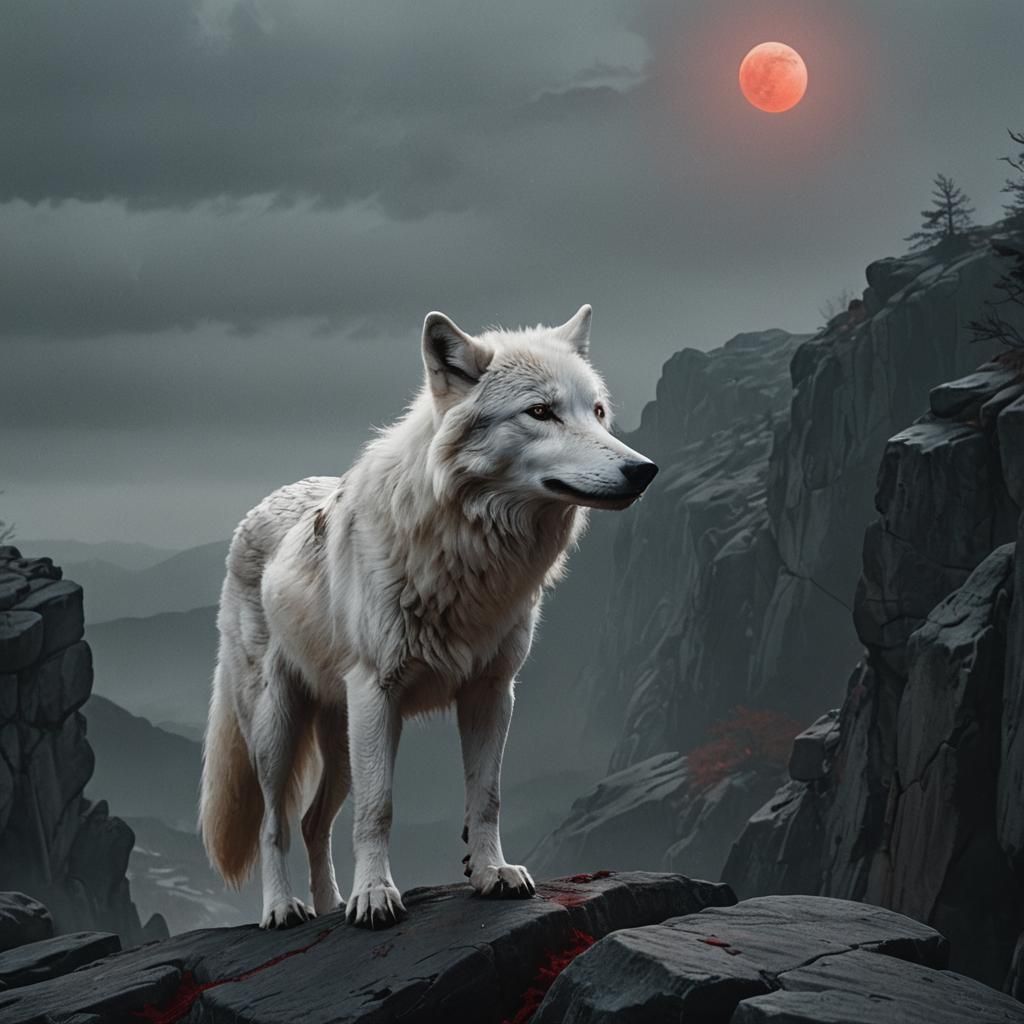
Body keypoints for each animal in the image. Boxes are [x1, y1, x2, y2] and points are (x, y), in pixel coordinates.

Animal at [199, 305, 658, 928]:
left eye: (599, 412)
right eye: (541, 411)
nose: (644, 470)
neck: (466, 552)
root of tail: (257, 507)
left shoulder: (492, 691)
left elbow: (486, 796)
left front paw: (491, 873)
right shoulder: (378, 693)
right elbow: (379, 810)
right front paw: (375, 896)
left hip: (342, 739)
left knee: (315, 822)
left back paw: (330, 906)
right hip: (279, 728)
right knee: (277, 824)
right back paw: (285, 909)